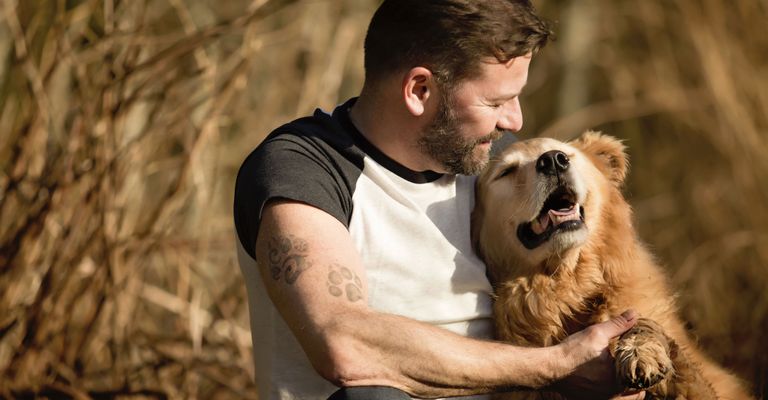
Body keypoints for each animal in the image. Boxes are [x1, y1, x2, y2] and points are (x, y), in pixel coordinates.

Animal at [472, 133, 752, 398]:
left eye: (566, 154)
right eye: (506, 172)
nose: (553, 160)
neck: (567, 280)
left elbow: (644, 324)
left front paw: (641, 355)